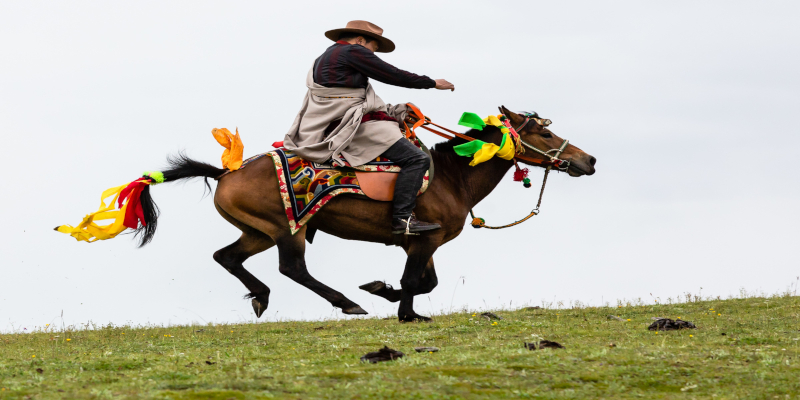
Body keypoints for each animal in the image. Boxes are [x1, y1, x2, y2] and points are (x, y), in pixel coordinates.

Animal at [134, 106, 592, 322]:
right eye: (545, 132)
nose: (588, 160)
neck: (451, 177)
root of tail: (227, 170)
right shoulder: (423, 239)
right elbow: (416, 282)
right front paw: (404, 312)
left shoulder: (418, 242)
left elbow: (425, 281)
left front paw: (384, 291)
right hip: (286, 228)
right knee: (292, 269)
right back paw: (346, 302)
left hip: (259, 231)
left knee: (227, 257)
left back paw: (262, 296)